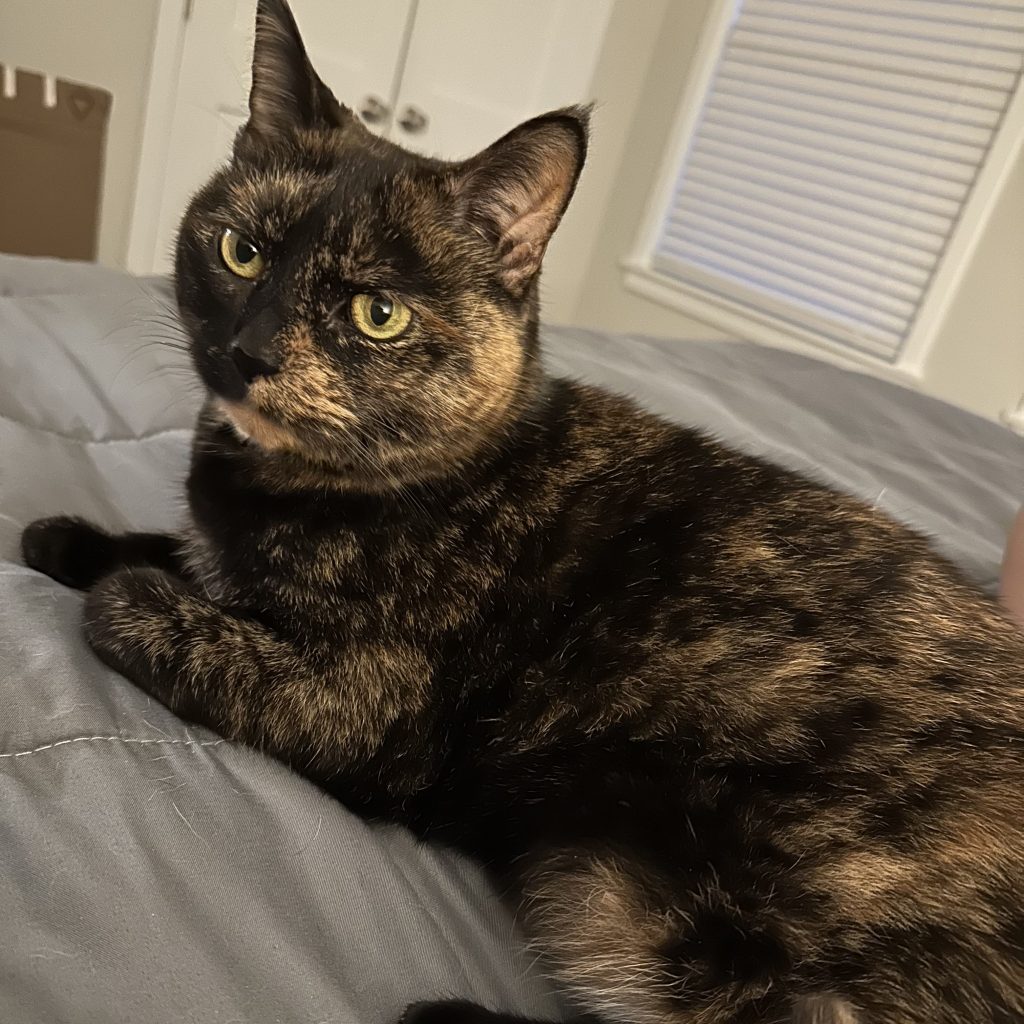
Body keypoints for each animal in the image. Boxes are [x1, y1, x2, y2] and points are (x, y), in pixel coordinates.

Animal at [20, 1, 1024, 1021]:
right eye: (240, 250)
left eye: (378, 313)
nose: (247, 349)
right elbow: (177, 549)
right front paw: (69, 536)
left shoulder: (364, 706)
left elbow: (156, 611)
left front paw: (122, 585)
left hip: (699, 906)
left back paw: (445, 1015)